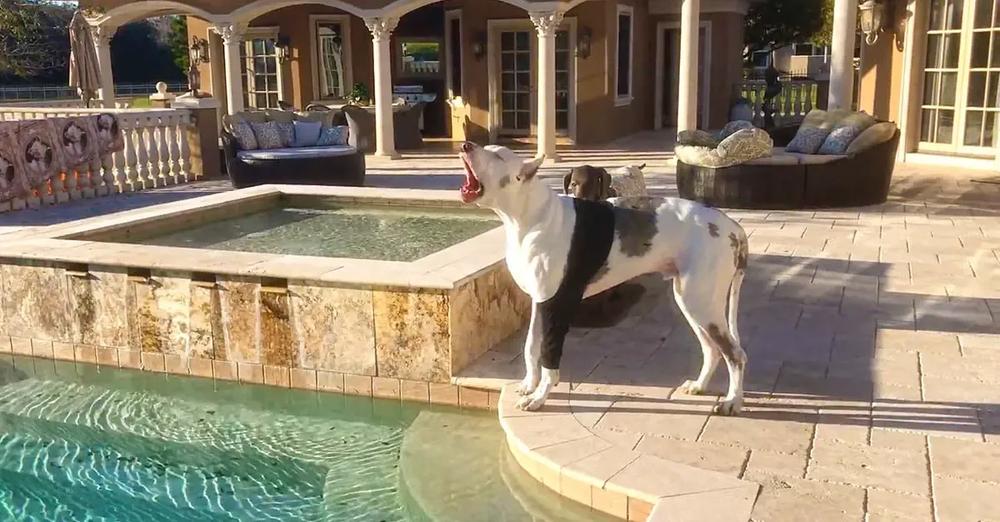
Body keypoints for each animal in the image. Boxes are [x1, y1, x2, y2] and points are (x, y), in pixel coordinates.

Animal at [458, 142, 748, 414]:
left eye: (498, 156)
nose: (466, 145)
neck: (529, 216)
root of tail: (733, 228)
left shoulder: (557, 305)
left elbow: (549, 357)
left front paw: (539, 397)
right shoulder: (540, 302)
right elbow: (531, 347)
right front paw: (530, 385)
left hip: (700, 303)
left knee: (735, 354)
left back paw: (733, 401)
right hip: (691, 301)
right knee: (712, 349)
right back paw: (700, 386)